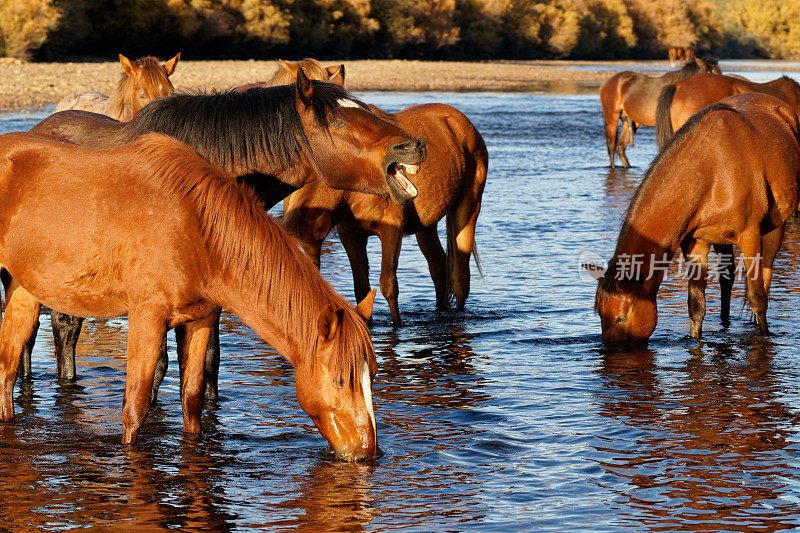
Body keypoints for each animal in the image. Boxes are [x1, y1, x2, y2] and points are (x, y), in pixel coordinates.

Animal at [0, 131, 380, 460]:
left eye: (372, 376)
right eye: (342, 379)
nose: (366, 452)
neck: (197, 230)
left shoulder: (200, 319)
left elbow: (193, 398)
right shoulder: (147, 316)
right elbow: (135, 404)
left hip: (22, 289)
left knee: (7, 364)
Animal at [276, 58, 488, 324]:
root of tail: (460, 121)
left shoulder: (391, 229)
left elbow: (388, 285)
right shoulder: (350, 235)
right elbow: (362, 290)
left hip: (468, 209)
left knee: (460, 278)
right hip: (426, 224)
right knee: (439, 268)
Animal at [588, 93, 800, 344]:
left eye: (621, 318)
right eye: (600, 314)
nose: (609, 349)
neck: (711, 170)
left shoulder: (750, 236)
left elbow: (757, 296)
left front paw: (764, 334)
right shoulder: (695, 243)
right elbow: (696, 306)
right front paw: (695, 340)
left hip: (776, 227)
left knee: (765, 275)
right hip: (720, 239)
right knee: (727, 279)